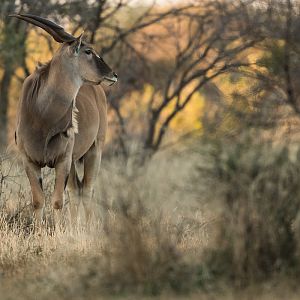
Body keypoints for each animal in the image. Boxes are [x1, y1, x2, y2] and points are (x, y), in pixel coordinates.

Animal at [10, 14, 117, 225]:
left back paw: (87, 228)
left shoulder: (63, 161)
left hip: (94, 151)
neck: (42, 117)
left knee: (87, 190)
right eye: (88, 51)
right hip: (76, 160)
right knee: (77, 191)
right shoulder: (30, 161)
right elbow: (38, 201)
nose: (113, 75)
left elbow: (58, 202)